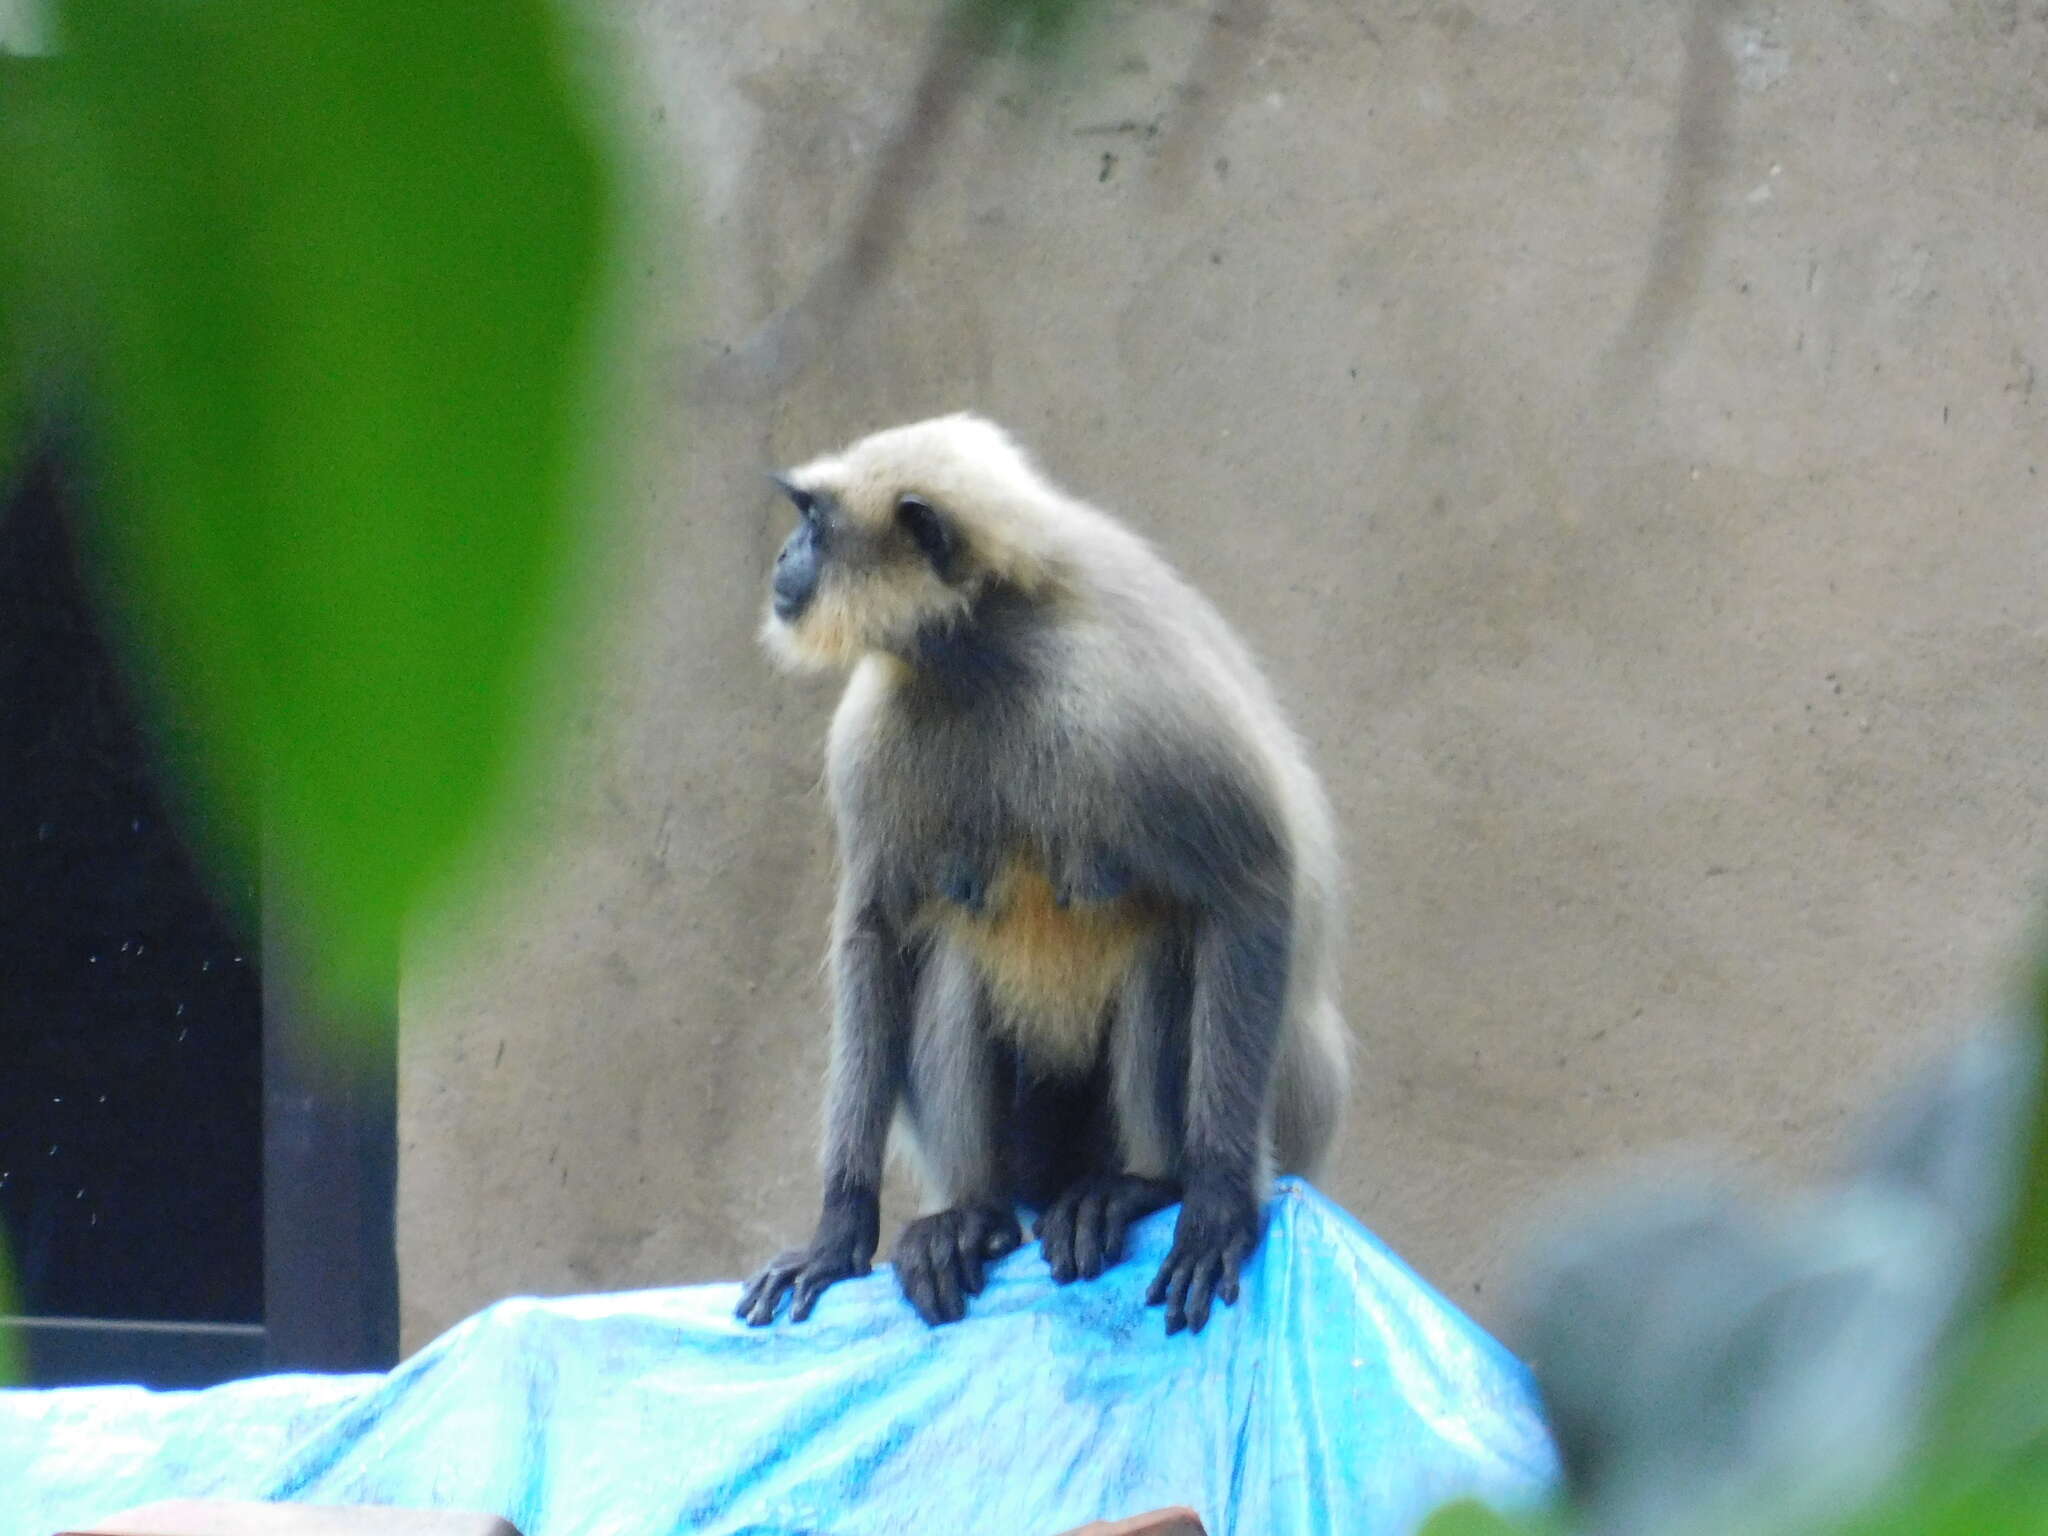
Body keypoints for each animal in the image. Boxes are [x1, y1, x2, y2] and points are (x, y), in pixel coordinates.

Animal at [733, 411, 1343, 1335]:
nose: (782, 559)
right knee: (950, 961)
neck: (987, 648)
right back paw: (971, 1217)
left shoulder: (1125, 705)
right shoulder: (876, 728)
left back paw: (1145, 1186)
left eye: (813, 521)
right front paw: (837, 1232)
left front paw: (1217, 1204)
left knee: (1164, 945)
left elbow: (1254, 887)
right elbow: (876, 930)